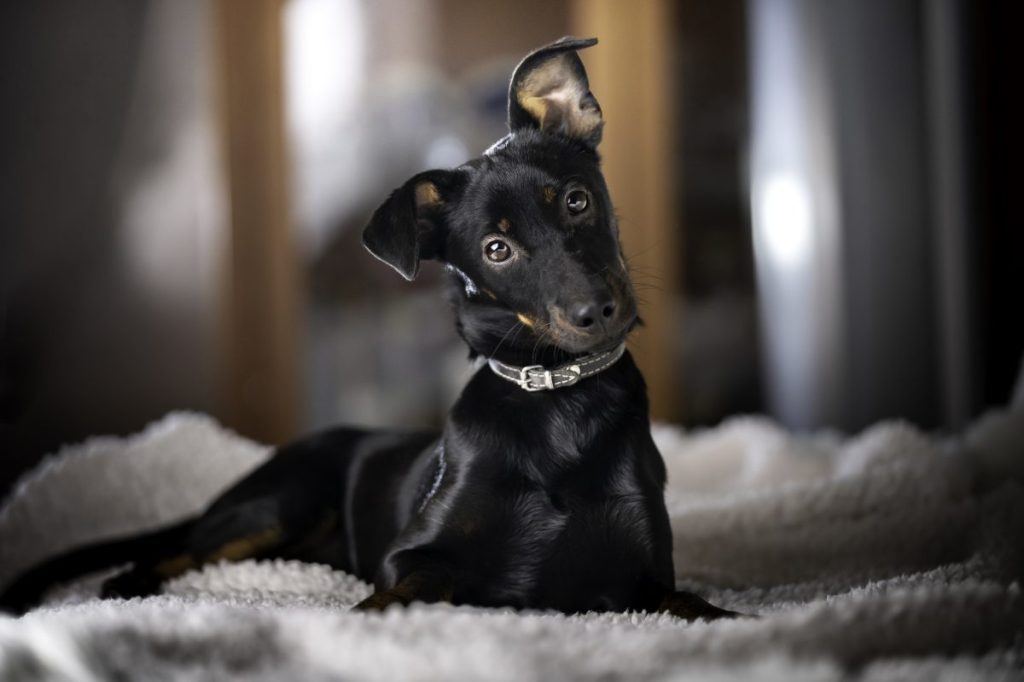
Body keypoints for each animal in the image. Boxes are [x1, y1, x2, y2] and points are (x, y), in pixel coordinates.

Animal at [0, 39, 737, 618]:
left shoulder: (641, 578)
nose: (597, 313)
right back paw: (130, 589)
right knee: (175, 553)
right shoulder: (410, 556)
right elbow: (392, 598)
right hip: (279, 503)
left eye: (579, 201)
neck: (557, 395)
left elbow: (695, 605)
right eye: (496, 249)